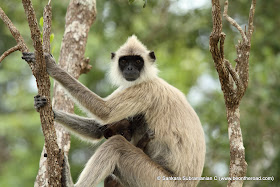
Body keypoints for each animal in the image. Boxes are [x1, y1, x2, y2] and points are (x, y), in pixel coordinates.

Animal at [22, 34, 206, 186]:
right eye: (124, 61)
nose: (130, 69)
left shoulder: (145, 90)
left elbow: (105, 111)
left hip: (159, 180)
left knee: (116, 145)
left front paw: (50, 66)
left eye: (137, 61)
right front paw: (49, 111)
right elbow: (99, 129)